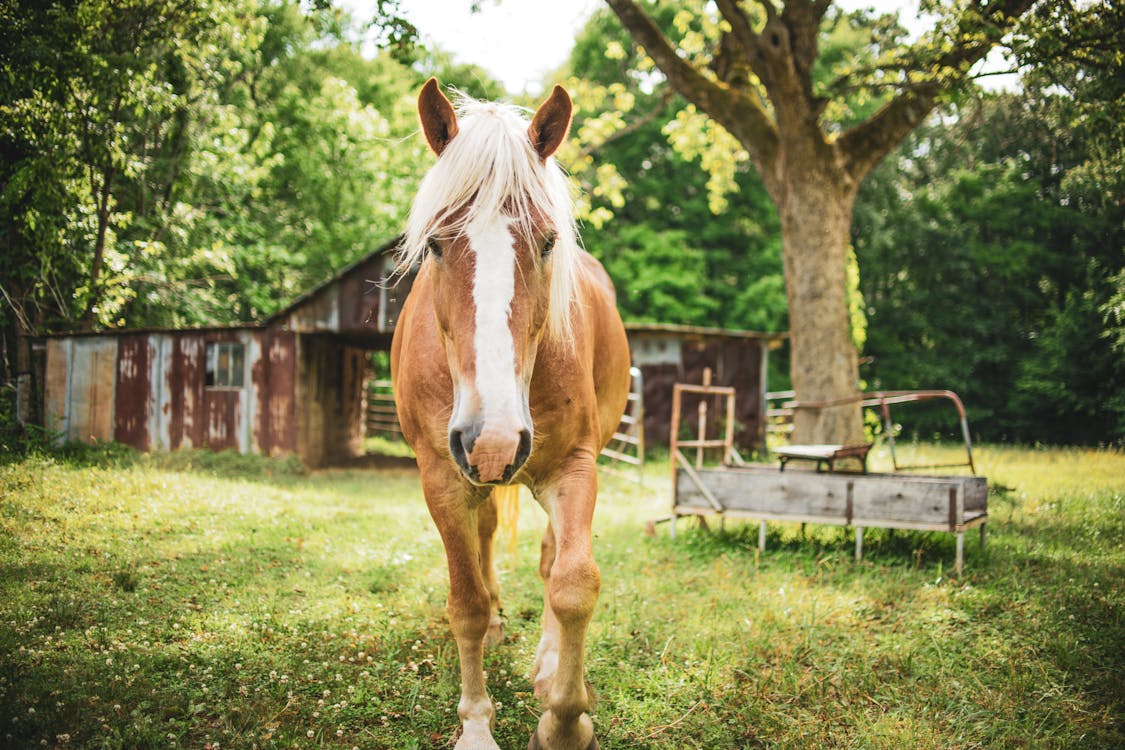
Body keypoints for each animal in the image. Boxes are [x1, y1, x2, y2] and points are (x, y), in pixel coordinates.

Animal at [391, 80, 630, 750]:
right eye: (436, 244)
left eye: (548, 241)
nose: (493, 440)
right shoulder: (443, 477)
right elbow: (466, 603)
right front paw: (475, 725)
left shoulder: (575, 467)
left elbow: (573, 583)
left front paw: (565, 719)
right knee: (486, 540)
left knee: (550, 560)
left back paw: (548, 665)